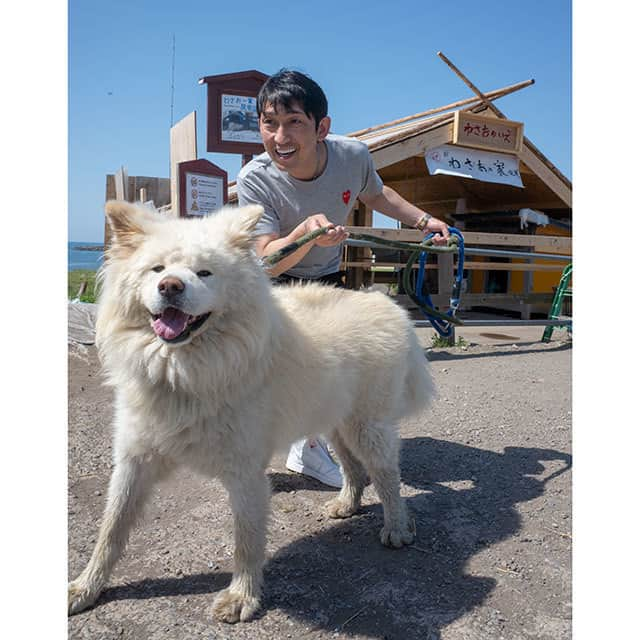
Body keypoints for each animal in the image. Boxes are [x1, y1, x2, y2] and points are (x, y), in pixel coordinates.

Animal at [67, 200, 432, 620]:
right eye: (157, 269)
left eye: (204, 273)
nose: (170, 287)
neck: (184, 373)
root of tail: (384, 302)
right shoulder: (134, 460)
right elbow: (110, 529)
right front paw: (85, 587)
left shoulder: (244, 471)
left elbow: (246, 539)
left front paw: (242, 597)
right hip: (335, 422)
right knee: (354, 471)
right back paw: (346, 505)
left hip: (367, 427)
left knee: (387, 477)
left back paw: (398, 528)